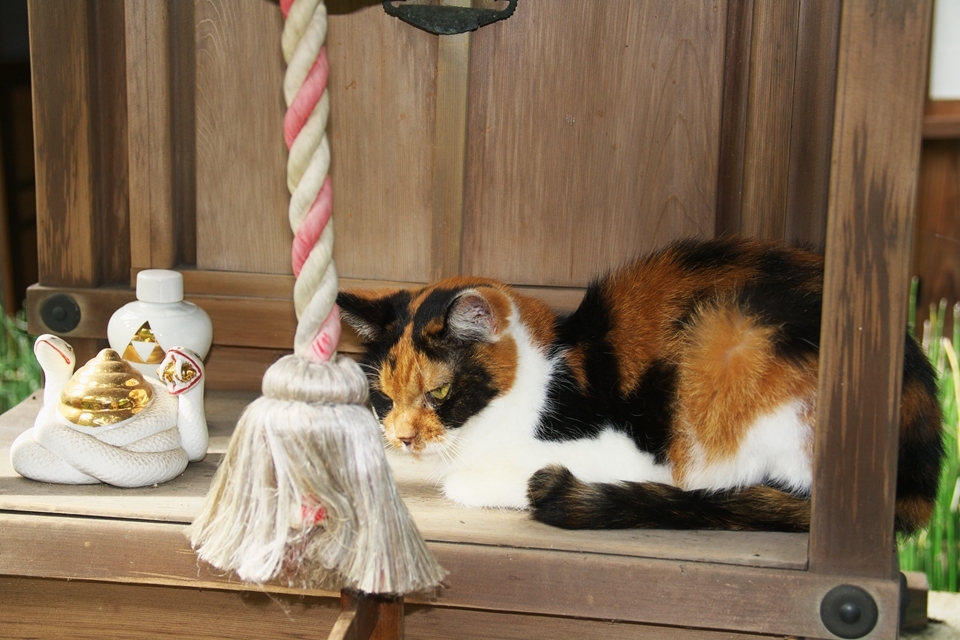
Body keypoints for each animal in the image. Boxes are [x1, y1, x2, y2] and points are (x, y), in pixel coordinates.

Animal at [338, 238, 944, 532]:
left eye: (439, 393)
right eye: (385, 398)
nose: (402, 438)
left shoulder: (620, 447)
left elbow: (472, 479)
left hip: (732, 347)